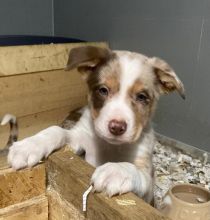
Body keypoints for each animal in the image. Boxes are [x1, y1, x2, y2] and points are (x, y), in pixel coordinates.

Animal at [6, 46, 184, 205]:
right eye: (103, 90)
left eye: (141, 97)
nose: (117, 127)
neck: (110, 146)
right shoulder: (79, 137)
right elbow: (56, 130)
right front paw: (29, 146)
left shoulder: (147, 182)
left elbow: (133, 169)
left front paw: (115, 171)